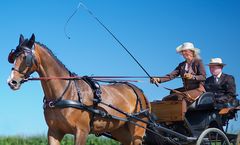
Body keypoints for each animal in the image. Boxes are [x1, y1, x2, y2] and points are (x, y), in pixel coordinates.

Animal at [7, 33, 150, 144]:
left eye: (25, 57)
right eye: (13, 57)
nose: (11, 82)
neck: (65, 94)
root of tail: (139, 91)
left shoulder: (82, 131)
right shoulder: (54, 132)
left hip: (137, 131)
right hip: (121, 131)